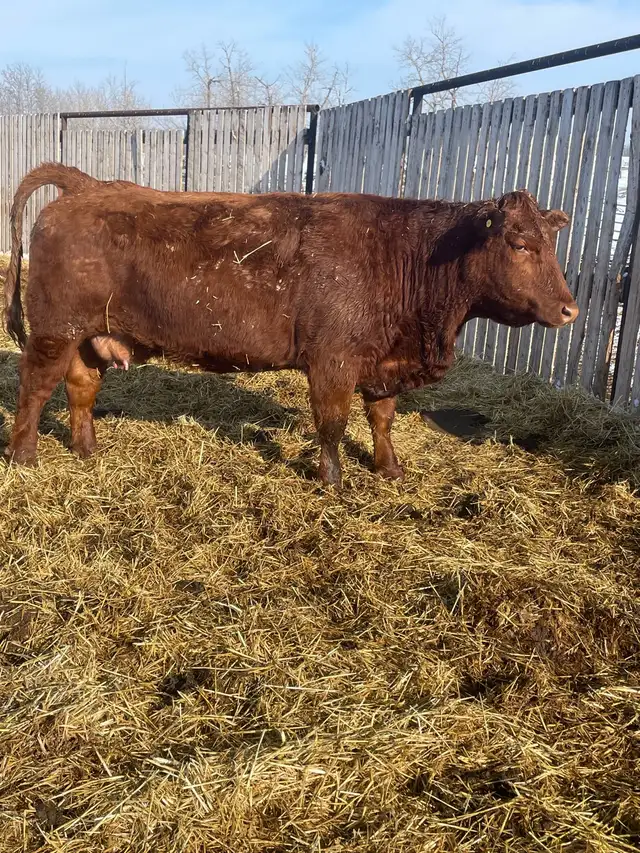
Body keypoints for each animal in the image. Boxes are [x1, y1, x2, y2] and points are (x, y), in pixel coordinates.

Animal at [3, 163, 577, 484]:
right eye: (519, 243)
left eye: (552, 242)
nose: (570, 309)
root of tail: (86, 185)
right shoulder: (332, 362)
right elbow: (332, 424)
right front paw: (332, 481)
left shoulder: (381, 362)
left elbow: (383, 417)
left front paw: (390, 469)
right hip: (53, 331)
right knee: (34, 388)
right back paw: (25, 458)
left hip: (89, 336)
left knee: (81, 388)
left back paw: (87, 451)